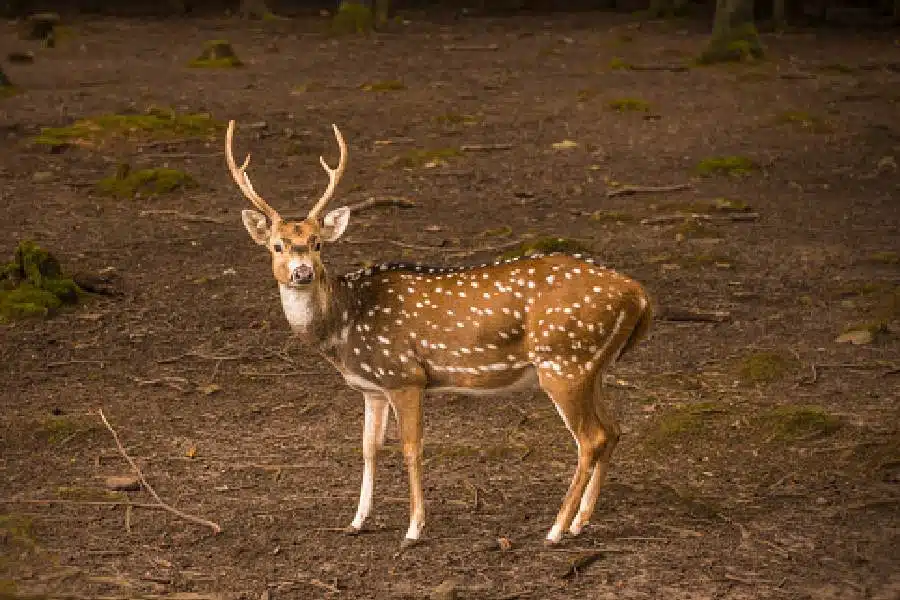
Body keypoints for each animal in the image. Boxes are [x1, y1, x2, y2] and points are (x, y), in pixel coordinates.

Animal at [225, 119, 653, 549]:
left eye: (317, 244)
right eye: (277, 246)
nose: (302, 272)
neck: (344, 327)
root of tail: (639, 293)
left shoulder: (405, 375)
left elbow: (411, 448)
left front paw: (414, 529)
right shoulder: (372, 388)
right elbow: (368, 449)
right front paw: (357, 520)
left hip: (564, 362)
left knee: (591, 438)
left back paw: (556, 529)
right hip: (592, 367)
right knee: (614, 430)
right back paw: (580, 521)